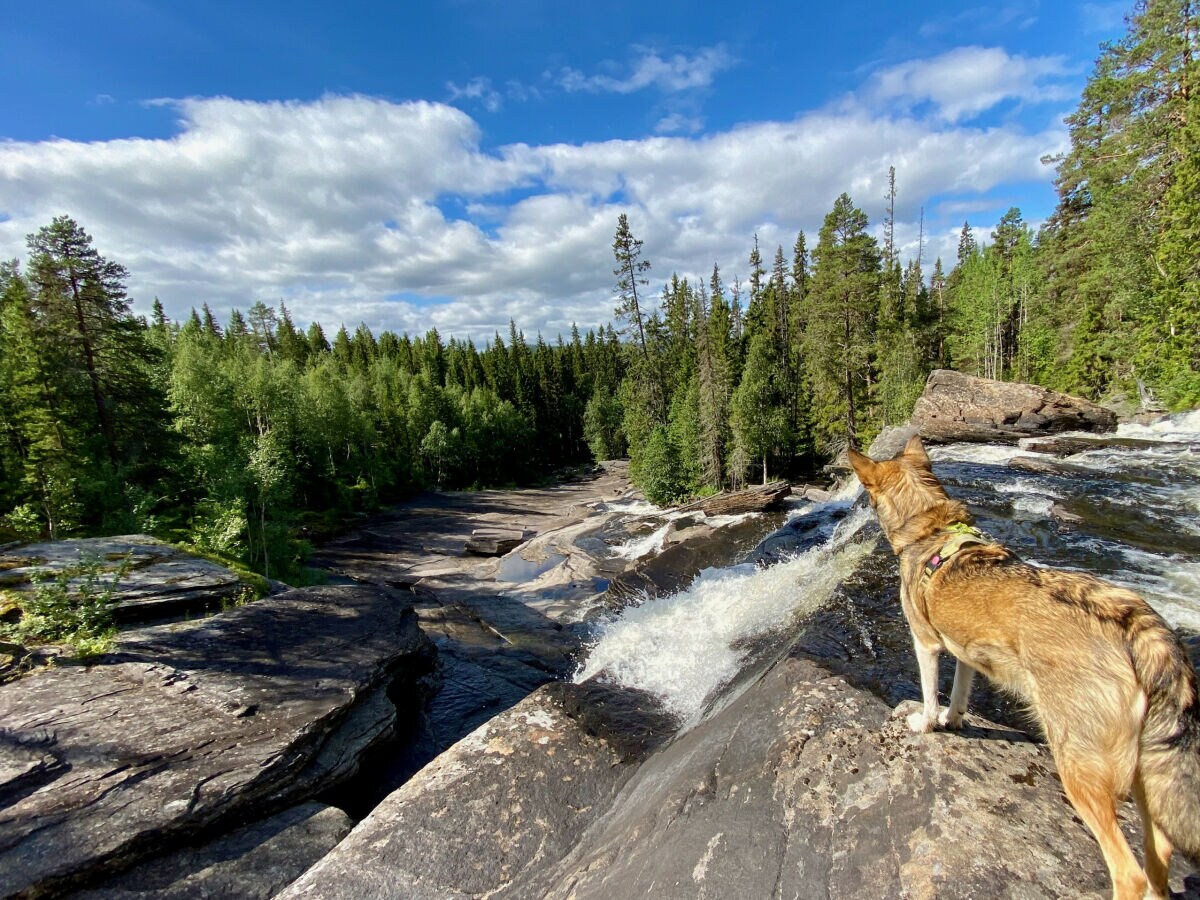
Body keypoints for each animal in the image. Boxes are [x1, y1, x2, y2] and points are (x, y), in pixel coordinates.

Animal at [849, 434, 1195, 897]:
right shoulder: (965, 649)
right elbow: (959, 692)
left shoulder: (926, 641)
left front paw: (926, 723)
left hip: (1078, 761)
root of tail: (1141, 631)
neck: (932, 529)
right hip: (1145, 773)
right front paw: (954, 720)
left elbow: (928, 692)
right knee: (1160, 855)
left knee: (1130, 871)